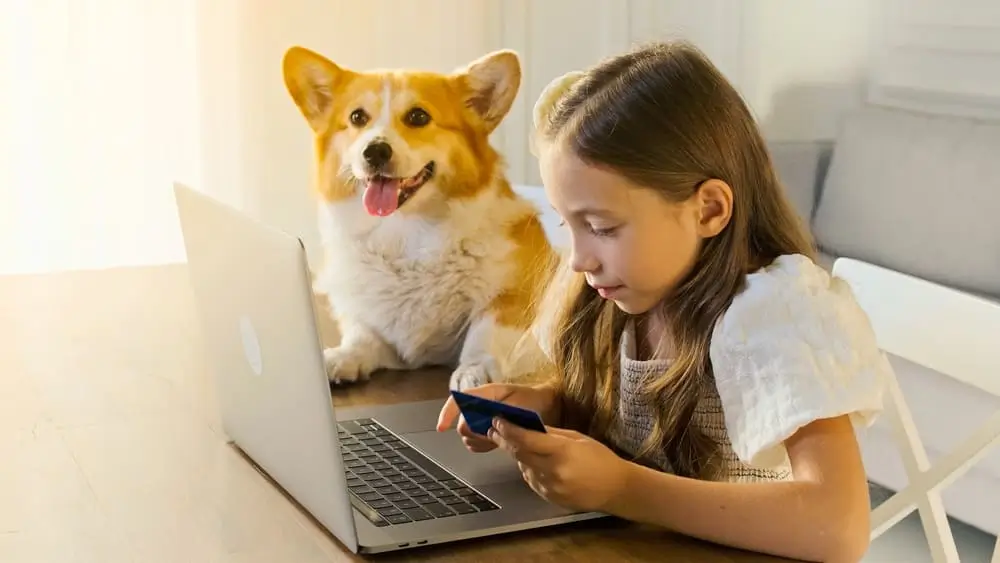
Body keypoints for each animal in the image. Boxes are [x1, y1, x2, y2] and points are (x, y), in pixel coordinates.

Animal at [282, 47, 560, 392]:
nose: (374, 151)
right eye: (357, 118)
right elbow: (363, 335)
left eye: (418, 117)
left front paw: (475, 369)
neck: (405, 234)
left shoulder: (516, 296)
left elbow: (487, 329)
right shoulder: (381, 333)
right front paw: (342, 357)